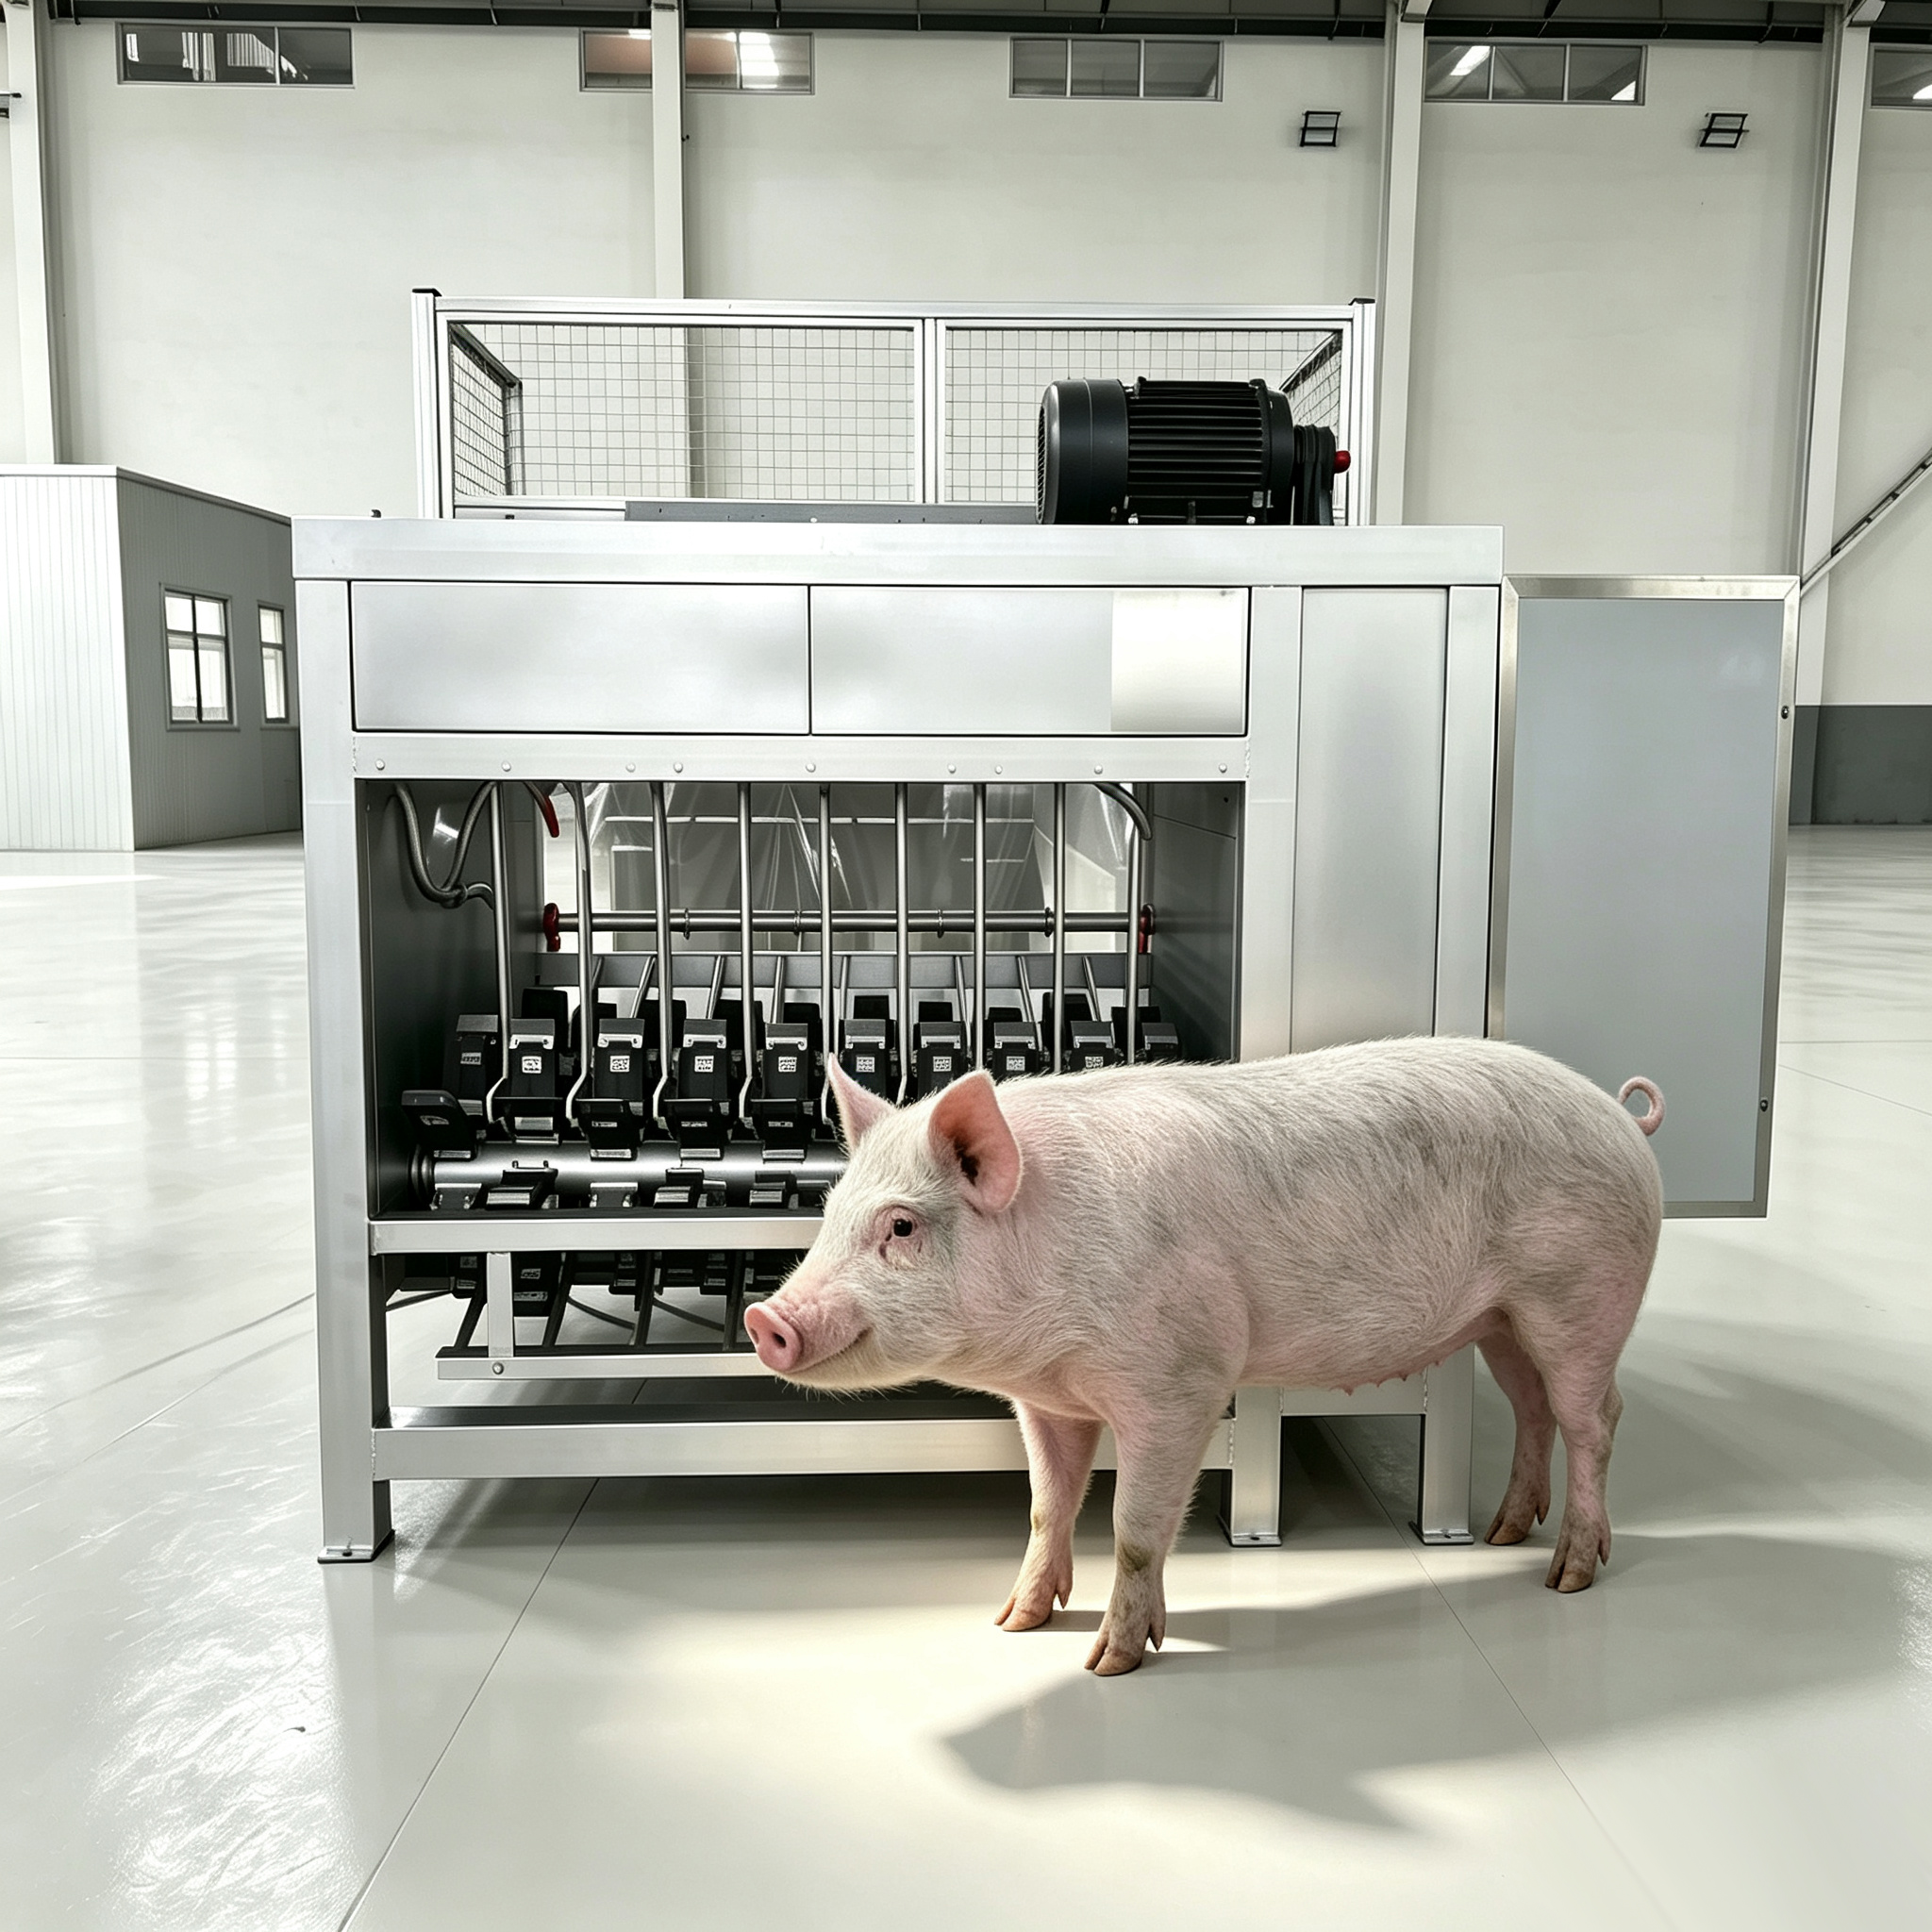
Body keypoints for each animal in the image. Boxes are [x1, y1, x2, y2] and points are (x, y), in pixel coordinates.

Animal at [743, 1037, 1664, 1676]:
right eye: (830, 1209)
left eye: (901, 1225)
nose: (764, 1317)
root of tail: (1622, 1116)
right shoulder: (1047, 1401)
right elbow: (1046, 1507)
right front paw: (1012, 1622)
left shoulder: (1180, 1382)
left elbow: (1134, 1529)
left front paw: (1108, 1663)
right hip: (1502, 1320)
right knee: (1534, 1407)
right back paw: (1505, 1534)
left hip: (1582, 1296)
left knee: (1596, 1419)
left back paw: (1566, 1577)